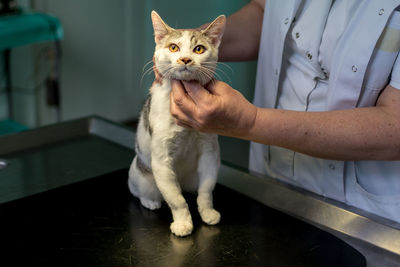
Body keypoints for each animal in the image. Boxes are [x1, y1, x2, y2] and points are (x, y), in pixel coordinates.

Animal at [129, 10, 227, 238]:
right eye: (173, 47)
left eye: (199, 49)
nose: (185, 59)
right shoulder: (161, 161)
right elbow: (176, 200)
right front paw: (183, 223)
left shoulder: (210, 153)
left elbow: (206, 191)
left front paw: (207, 212)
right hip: (144, 176)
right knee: (140, 191)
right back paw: (150, 202)